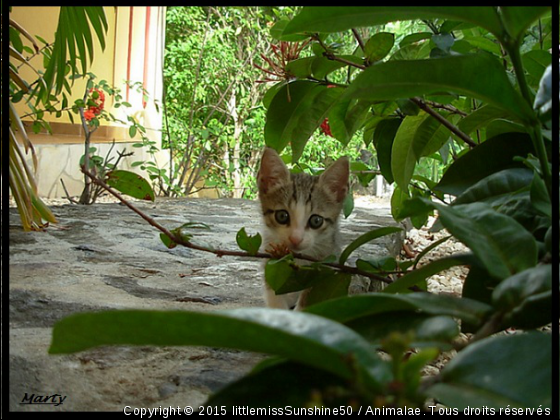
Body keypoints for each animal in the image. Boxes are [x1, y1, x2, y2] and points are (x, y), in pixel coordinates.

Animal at [256, 147, 348, 308]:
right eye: (282, 216)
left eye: (316, 221)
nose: (295, 239)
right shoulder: (272, 256)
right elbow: (274, 292)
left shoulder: (327, 261)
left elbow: (310, 296)